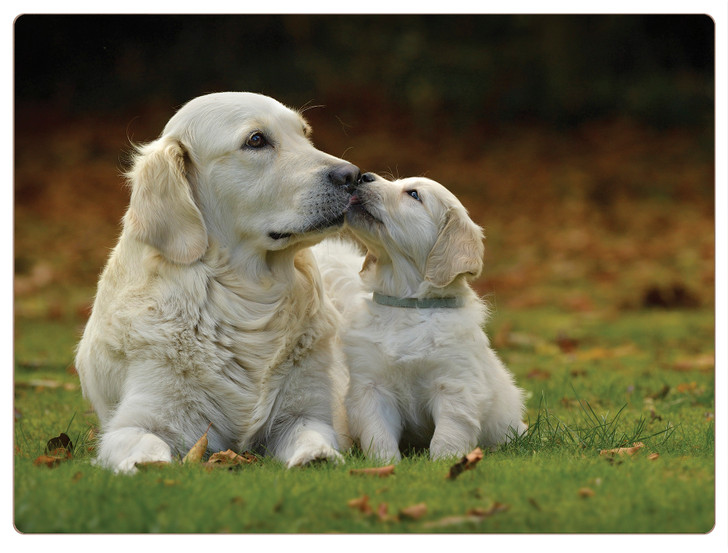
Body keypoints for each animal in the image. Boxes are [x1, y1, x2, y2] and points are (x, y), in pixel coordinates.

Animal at [75, 92, 360, 472]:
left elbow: (311, 432)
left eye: (304, 133)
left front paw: (317, 457)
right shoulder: (136, 421)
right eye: (256, 140)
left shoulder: (307, 411)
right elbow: (145, 445)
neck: (247, 300)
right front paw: (149, 466)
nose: (352, 175)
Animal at [312, 174, 524, 462]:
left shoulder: (454, 385)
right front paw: (384, 463)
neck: (407, 305)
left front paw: (444, 463)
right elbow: (378, 434)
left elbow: (447, 435)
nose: (364, 176)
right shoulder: (371, 387)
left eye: (413, 195)